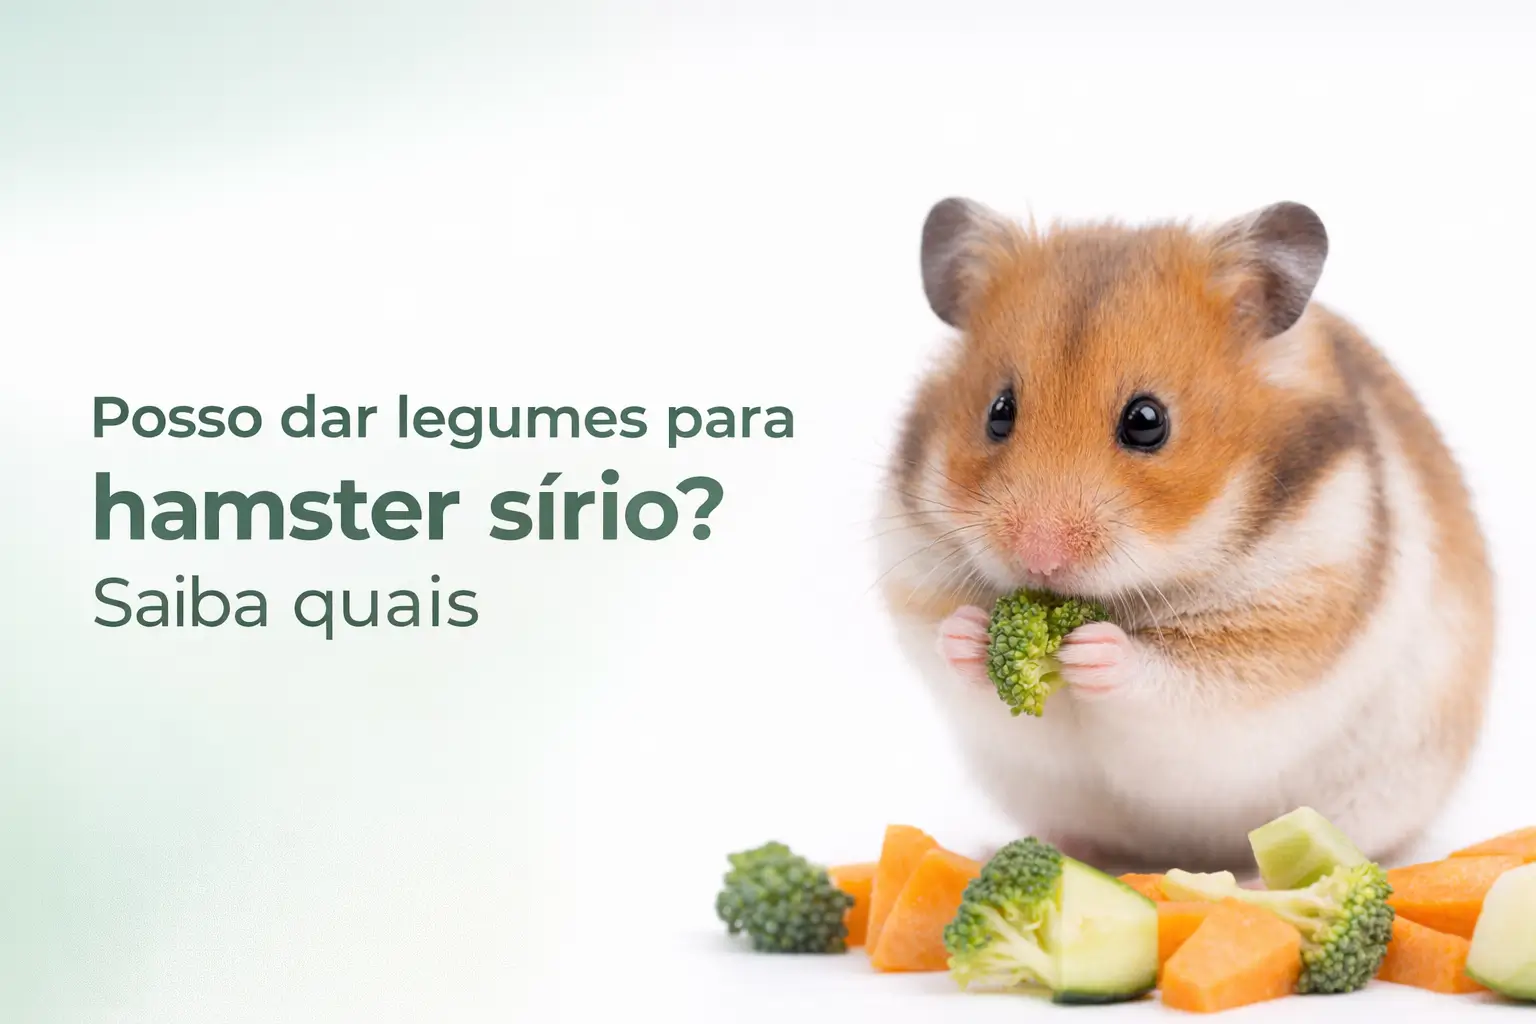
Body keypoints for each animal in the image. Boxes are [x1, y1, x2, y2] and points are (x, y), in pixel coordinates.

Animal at [875, 197, 1495, 872]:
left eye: (1148, 421)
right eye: (999, 412)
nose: (1038, 559)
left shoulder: (1278, 630)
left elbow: (1167, 678)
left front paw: (1092, 648)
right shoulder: (917, 587)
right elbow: (944, 646)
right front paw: (968, 633)